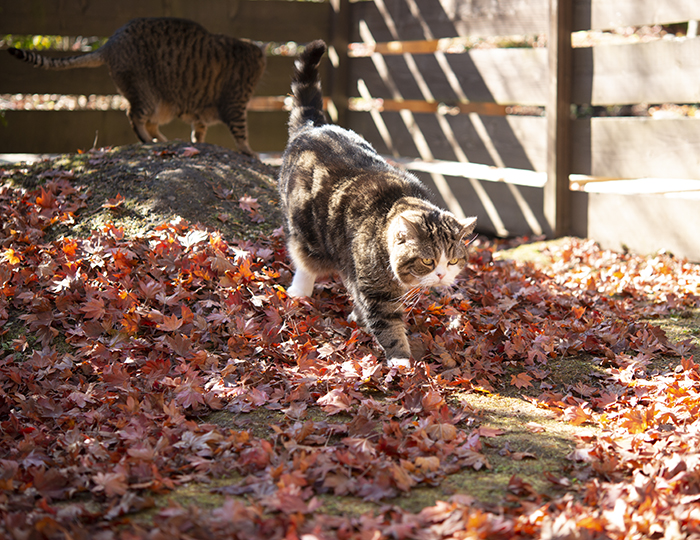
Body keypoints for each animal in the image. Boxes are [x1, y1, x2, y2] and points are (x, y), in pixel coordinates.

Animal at [8, 17, 266, 156]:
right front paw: (251, 152)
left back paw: (162, 140)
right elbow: (242, 135)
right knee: (133, 116)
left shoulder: (201, 115)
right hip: (146, 93)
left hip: (161, 104)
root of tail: (109, 43)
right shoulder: (235, 106)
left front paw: (197, 143)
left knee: (150, 123)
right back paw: (148, 140)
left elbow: (198, 132)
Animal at [278, 41, 476, 368]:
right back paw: (299, 291)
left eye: (453, 261)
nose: (441, 275)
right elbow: (388, 324)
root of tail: (313, 126)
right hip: (306, 230)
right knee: (303, 259)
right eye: (428, 261)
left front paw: (358, 318)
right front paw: (401, 361)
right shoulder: (375, 288)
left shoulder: (360, 276)